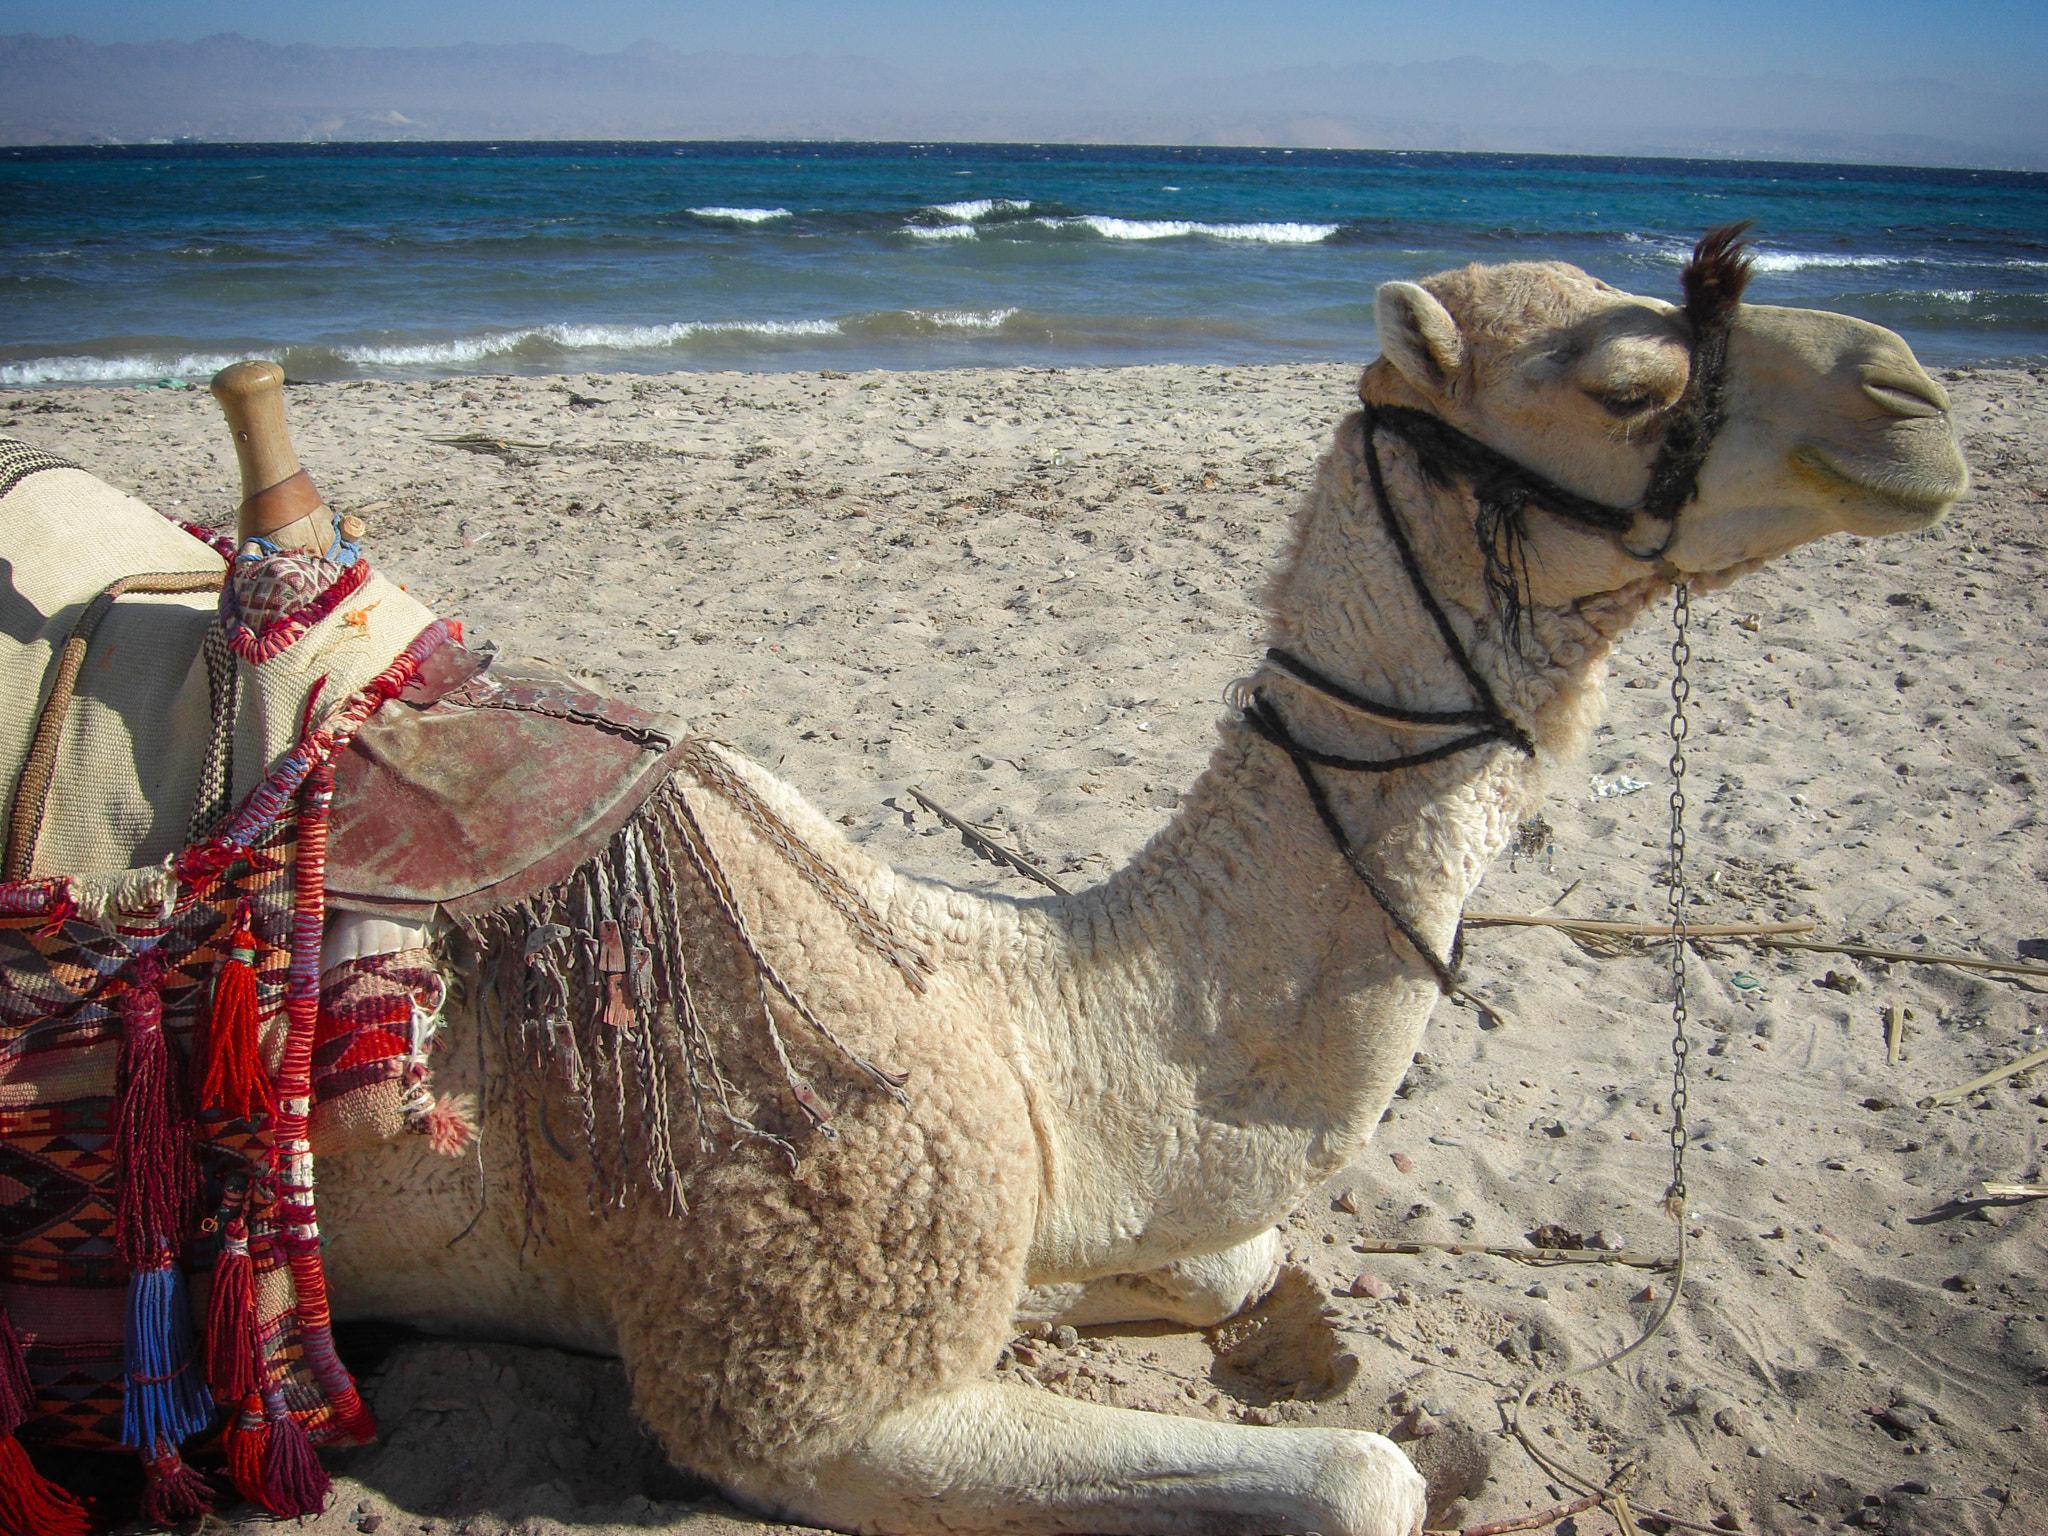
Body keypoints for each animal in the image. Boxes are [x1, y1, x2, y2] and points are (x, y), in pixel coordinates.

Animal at [0, 230, 1967, 1536]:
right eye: (1627, 384)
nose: (1917, 395)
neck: (1010, 1007)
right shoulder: (807, 1367)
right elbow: (1362, 1478)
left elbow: (1238, 1247)